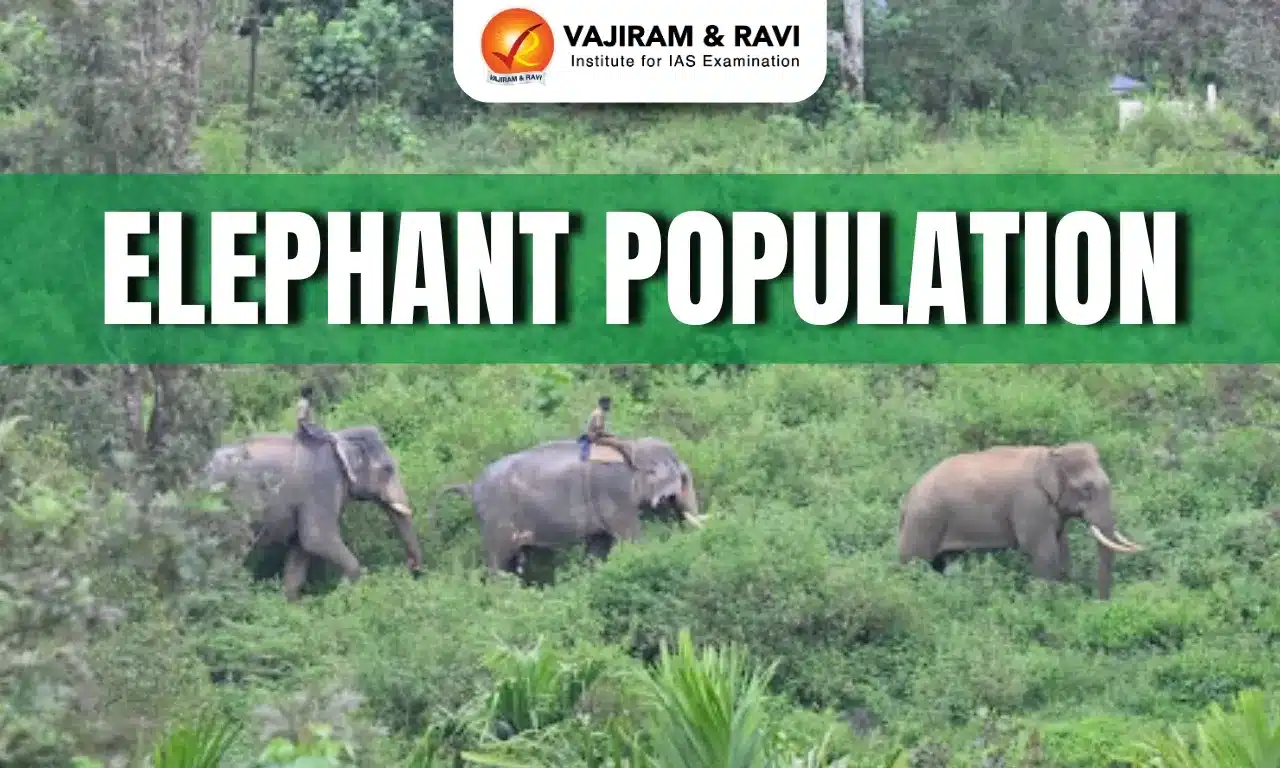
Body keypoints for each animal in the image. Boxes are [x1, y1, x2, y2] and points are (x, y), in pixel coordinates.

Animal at [204, 425, 423, 601]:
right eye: (387, 469)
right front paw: (339, 597)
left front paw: (292, 606)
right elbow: (317, 539)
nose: (411, 567)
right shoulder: (323, 484)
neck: (338, 436)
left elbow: (301, 547)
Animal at [433, 437, 706, 576]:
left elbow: (598, 544)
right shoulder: (614, 495)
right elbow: (631, 538)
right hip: (495, 521)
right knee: (498, 562)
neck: (633, 445)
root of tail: (471, 486)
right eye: (683, 478)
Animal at [897, 441, 1146, 600]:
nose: (1100, 603)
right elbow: (1042, 551)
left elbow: (1061, 546)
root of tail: (907, 499)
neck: (1051, 453)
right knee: (914, 564)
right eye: (1086, 489)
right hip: (924, 522)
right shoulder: (1030, 502)